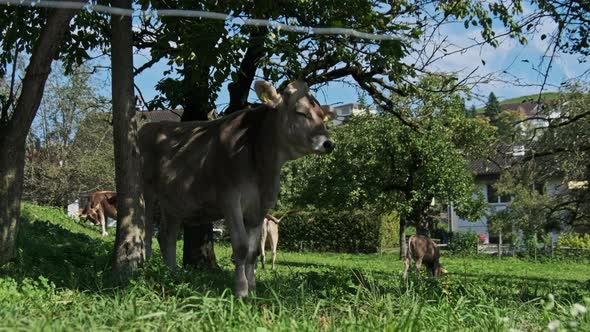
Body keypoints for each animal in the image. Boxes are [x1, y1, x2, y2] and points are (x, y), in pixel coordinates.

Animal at [136, 80, 336, 298]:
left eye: (322, 115)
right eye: (301, 112)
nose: (329, 143)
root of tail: (149, 127)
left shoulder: (260, 207)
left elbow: (253, 252)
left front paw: (253, 289)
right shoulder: (230, 199)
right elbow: (240, 247)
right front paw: (241, 290)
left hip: (173, 201)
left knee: (167, 235)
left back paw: (172, 275)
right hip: (146, 191)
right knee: (147, 233)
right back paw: (146, 271)